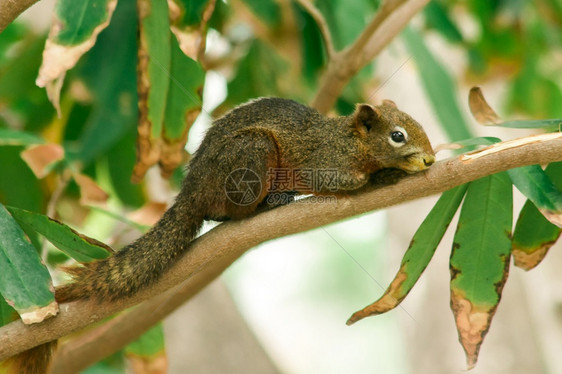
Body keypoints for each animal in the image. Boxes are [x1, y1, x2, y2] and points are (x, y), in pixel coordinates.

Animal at [5, 98, 434, 372]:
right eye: (397, 135)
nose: (429, 157)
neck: (349, 140)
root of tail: (191, 192)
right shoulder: (325, 162)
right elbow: (344, 182)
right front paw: (394, 172)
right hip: (250, 157)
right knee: (226, 211)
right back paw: (268, 204)